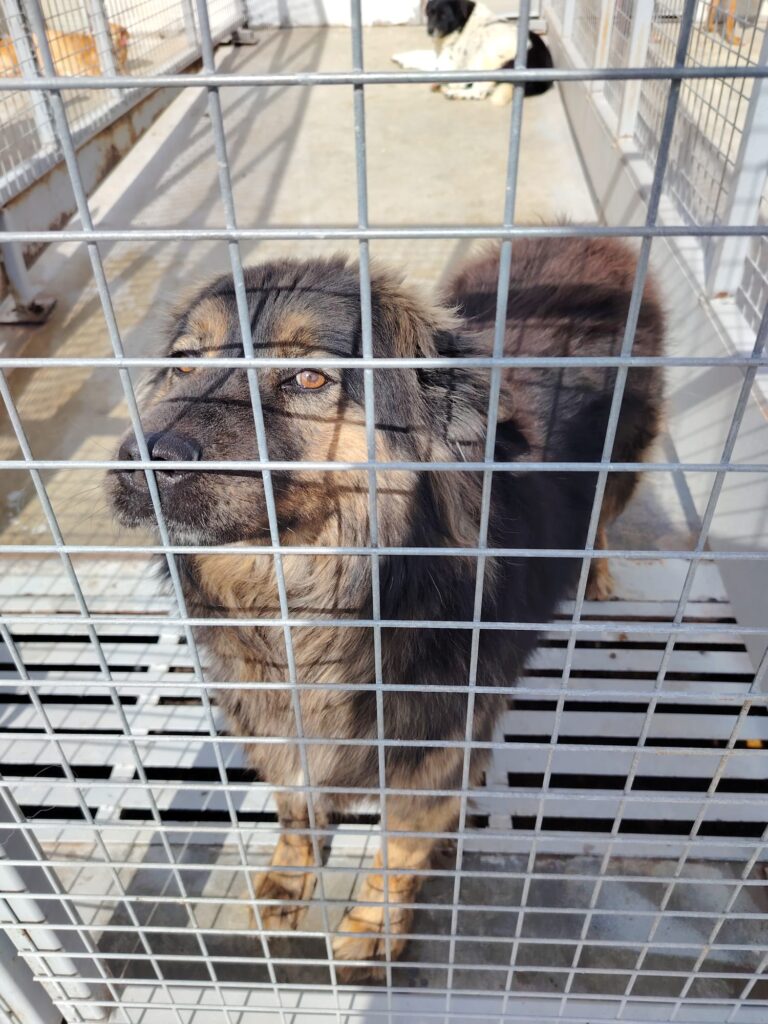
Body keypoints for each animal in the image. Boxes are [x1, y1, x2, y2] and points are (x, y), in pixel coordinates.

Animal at [109, 237, 664, 978]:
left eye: (309, 379)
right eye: (183, 362)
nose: (139, 459)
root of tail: (584, 241)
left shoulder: (432, 756)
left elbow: (397, 857)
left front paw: (373, 931)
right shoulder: (281, 725)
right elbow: (298, 813)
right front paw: (289, 881)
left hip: (623, 463)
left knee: (603, 513)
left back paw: (595, 572)